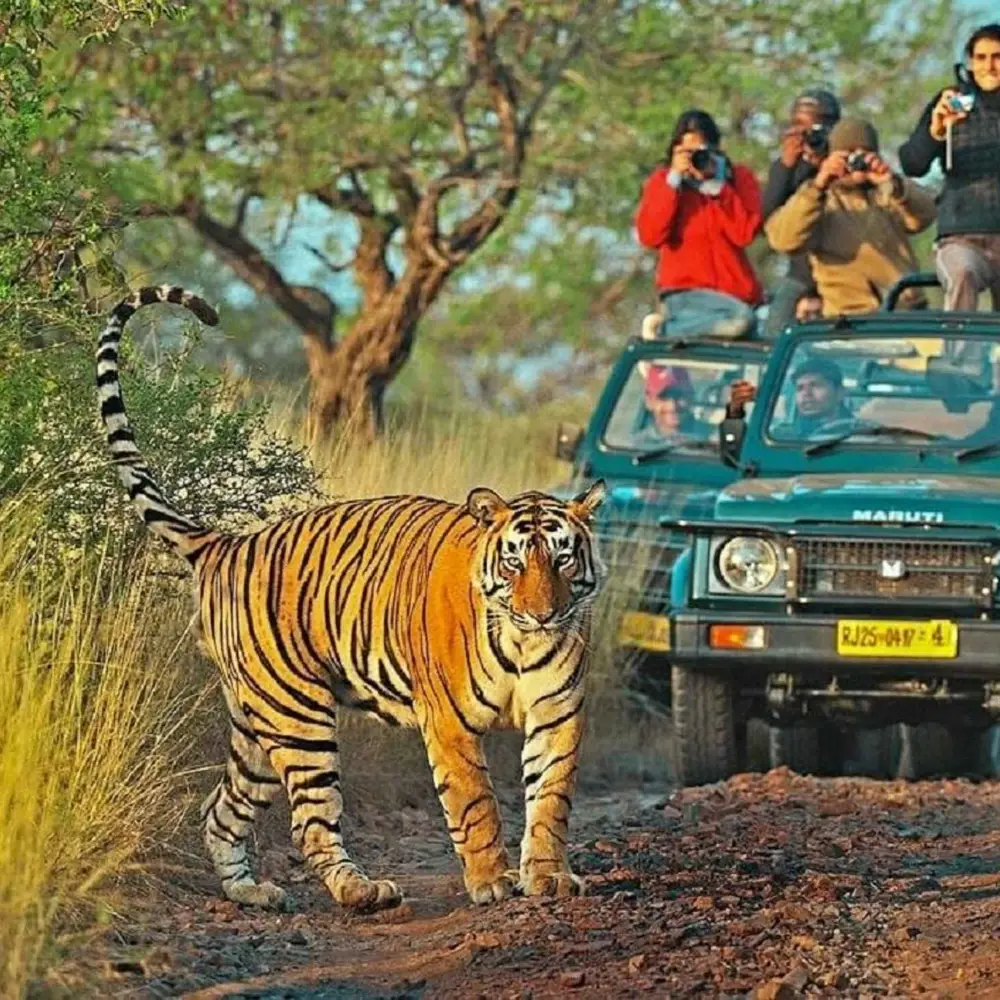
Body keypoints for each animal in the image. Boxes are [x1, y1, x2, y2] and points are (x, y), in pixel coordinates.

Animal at [96, 285, 607, 912]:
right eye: (515, 562)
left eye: (563, 558)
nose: (543, 613)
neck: (520, 641)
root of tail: (228, 542)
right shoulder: (450, 725)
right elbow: (476, 804)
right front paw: (491, 882)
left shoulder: (558, 713)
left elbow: (551, 800)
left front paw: (549, 876)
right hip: (297, 716)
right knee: (310, 821)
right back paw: (361, 890)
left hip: (255, 726)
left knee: (221, 810)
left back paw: (251, 892)